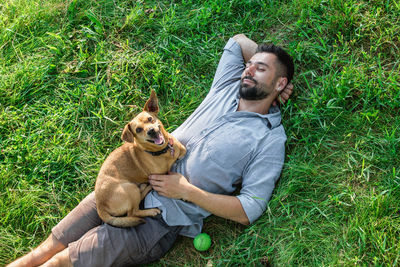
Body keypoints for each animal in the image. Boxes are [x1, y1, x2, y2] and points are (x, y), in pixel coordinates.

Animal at [94, 90, 187, 228]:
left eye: (150, 119)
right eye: (138, 129)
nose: (151, 131)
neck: (162, 151)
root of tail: (100, 207)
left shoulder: (180, 149)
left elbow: (183, 151)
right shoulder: (160, 175)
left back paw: (145, 188)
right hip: (130, 189)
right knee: (133, 212)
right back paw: (151, 209)